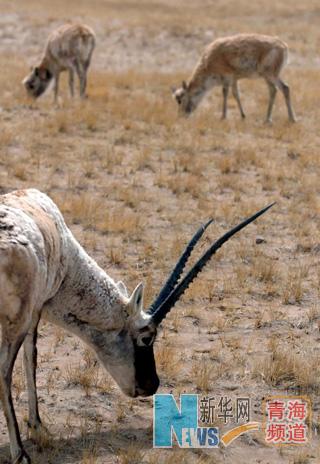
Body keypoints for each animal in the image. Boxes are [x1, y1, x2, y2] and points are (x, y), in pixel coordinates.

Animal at [0, 189, 272, 464]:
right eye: (146, 337)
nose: (152, 385)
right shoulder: (34, 313)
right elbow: (31, 359)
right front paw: (36, 425)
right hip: (16, 324)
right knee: (4, 373)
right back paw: (20, 453)